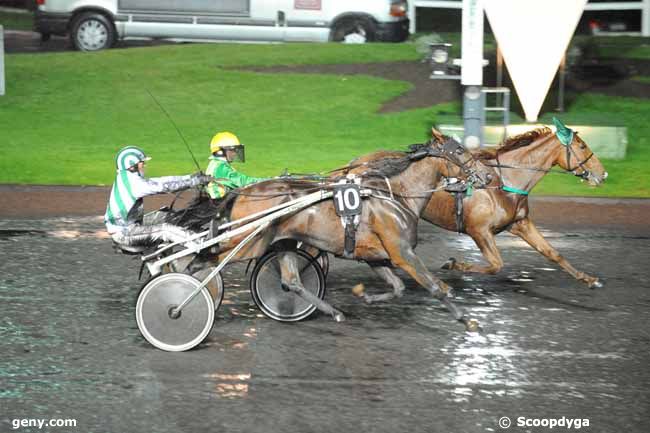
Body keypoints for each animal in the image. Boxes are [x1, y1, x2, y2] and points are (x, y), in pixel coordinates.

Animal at [202, 138, 486, 330]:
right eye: (460, 150)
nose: (486, 176)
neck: (396, 195)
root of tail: (242, 193)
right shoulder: (402, 252)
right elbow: (433, 287)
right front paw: (465, 319)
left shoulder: (375, 256)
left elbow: (398, 287)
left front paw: (365, 295)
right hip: (247, 241)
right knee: (205, 260)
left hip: (282, 242)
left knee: (291, 281)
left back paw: (334, 312)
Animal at [346, 118, 604, 286]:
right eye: (583, 146)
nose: (603, 174)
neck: (501, 182)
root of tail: (357, 162)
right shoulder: (479, 230)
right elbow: (496, 264)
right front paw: (453, 264)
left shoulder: (520, 223)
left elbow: (552, 253)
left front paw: (588, 278)